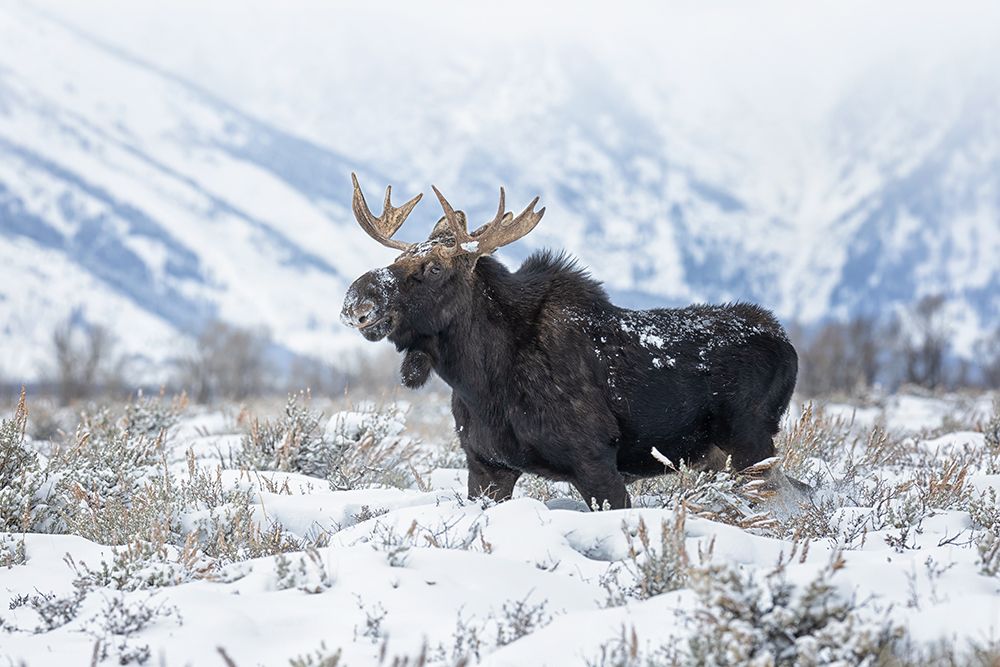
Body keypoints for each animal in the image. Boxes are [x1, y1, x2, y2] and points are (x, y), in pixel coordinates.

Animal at [341, 174, 799, 509]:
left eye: (434, 268)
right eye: (398, 258)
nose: (356, 300)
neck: (480, 381)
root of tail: (787, 346)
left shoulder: (595, 461)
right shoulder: (487, 466)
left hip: (750, 441)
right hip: (719, 455)